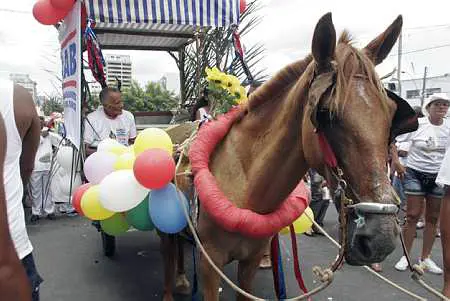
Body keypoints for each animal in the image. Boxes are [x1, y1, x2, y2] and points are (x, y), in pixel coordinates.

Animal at [182, 12, 412, 298]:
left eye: (391, 114)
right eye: (326, 113)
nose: (381, 238)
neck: (245, 185)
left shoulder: (250, 260)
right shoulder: (209, 264)